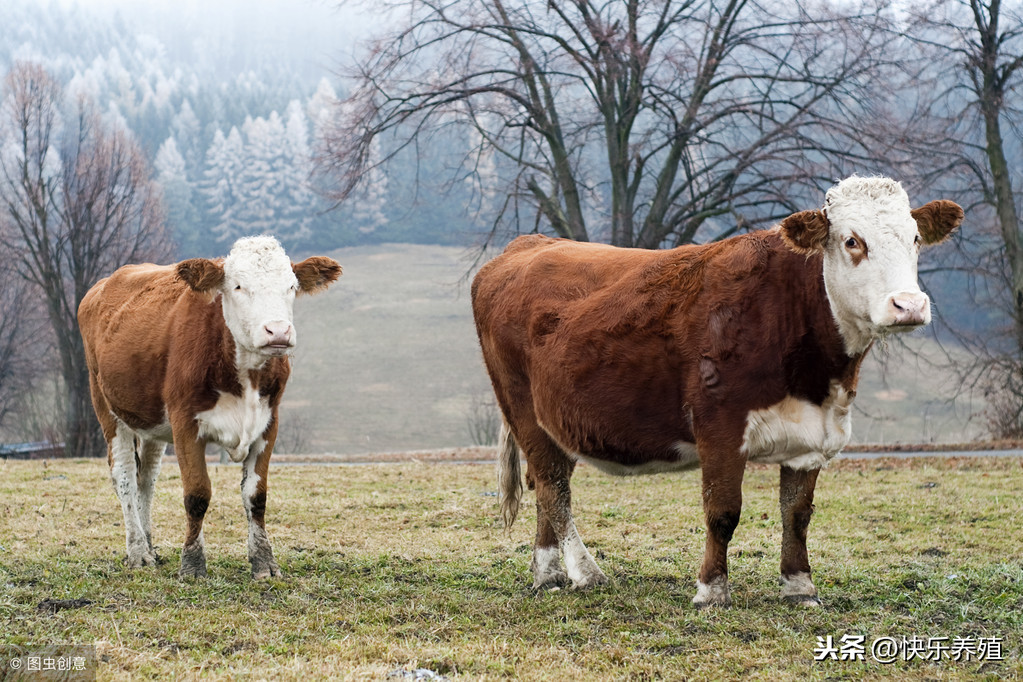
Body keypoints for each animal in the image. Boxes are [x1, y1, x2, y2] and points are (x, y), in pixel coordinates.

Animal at [79, 237, 341, 580]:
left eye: (292, 286)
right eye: (238, 286)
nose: (278, 331)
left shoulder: (268, 424)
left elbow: (256, 496)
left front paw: (264, 562)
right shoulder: (185, 423)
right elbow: (197, 494)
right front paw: (192, 564)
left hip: (151, 422)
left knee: (145, 480)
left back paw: (150, 546)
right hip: (107, 408)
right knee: (123, 477)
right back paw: (138, 553)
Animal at [474, 175, 961, 609]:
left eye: (916, 238)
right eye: (852, 241)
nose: (909, 305)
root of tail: (530, 244)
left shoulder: (811, 438)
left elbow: (797, 514)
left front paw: (800, 587)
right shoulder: (720, 428)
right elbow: (723, 512)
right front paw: (711, 591)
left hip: (556, 421)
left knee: (547, 487)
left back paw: (548, 574)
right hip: (521, 408)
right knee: (553, 487)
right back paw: (584, 572)